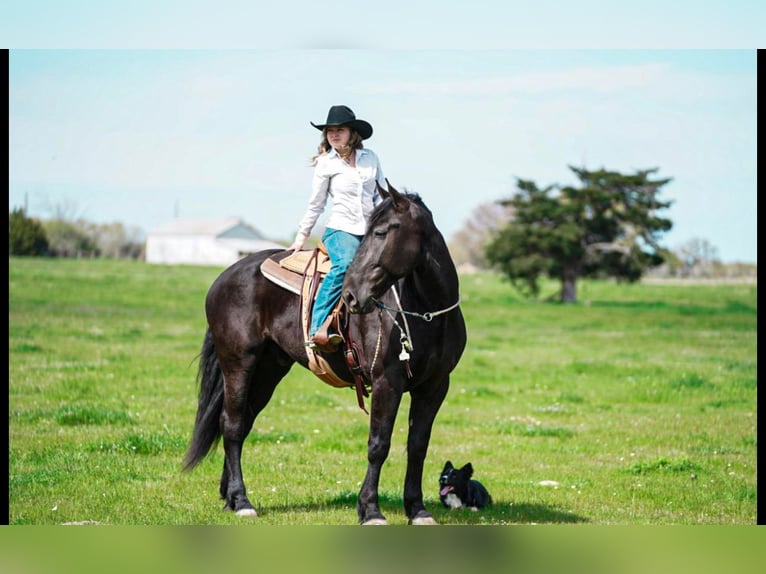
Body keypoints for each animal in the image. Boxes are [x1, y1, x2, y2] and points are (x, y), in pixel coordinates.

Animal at [184, 183, 468, 528]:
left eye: (381, 232)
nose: (351, 295)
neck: (427, 313)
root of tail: (225, 278)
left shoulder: (435, 387)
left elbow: (417, 446)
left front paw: (417, 509)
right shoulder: (387, 383)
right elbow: (379, 445)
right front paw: (370, 510)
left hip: (268, 371)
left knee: (242, 421)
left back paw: (229, 497)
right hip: (239, 364)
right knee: (233, 425)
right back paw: (242, 501)